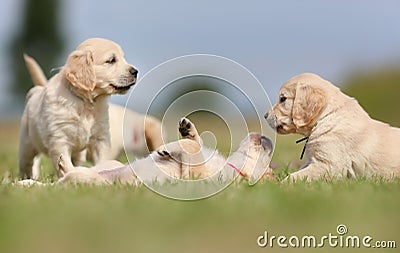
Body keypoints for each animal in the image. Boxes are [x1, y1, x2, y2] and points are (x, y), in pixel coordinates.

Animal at [18, 38, 138, 179]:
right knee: (26, 164)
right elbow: (65, 162)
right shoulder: (59, 140)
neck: (86, 103)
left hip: (78, 154)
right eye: (111, 60)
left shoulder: (101, 138)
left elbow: (103, 159)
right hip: (26, 146)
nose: (135, 72)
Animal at [266, 72, 400, 181]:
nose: (265, 115)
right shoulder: (312, 160)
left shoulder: (328, 165)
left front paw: (281, 185)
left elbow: (295, 176)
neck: (326, 117)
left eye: (283, 99)